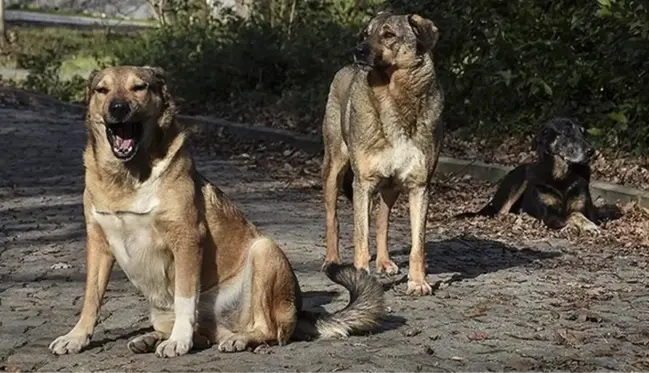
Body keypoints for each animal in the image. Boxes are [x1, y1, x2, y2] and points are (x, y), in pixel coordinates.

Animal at [50, 65, 384, 356]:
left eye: (139, 87)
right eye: (102, 90)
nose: (117, 108)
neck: (128, 177)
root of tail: (300, 312)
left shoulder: (186, 239)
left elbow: (185, 298)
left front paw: (178, 341)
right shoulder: (98, 243)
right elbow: (91, 298)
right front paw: (76, 337)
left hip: (264, 252)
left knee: (268, 330)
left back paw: (236, 339)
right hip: (162, 310)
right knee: (204, 335)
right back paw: (151, 338)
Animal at [320, 13, 442, 294]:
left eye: (388, 35)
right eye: (366, 33)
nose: (357, 50)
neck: (394, 96)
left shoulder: (420, 186)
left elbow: (417, 245)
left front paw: (417, 281)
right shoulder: (363, 184)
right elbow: (361, 238)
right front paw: (361, 277)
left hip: (390, 187)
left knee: (382, 219)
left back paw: (385, 261)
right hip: (334, 170)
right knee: (333, 218)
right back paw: (332, 260)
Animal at [454, 117, 620, 232]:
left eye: (583, 133)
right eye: (567, 133)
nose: (591, 151)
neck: (561, 176)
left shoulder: (587, 210)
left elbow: (581, 214)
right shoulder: (550, 214)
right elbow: (573, 215)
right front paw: (586, 226)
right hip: (521, 179)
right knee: (501, 212)